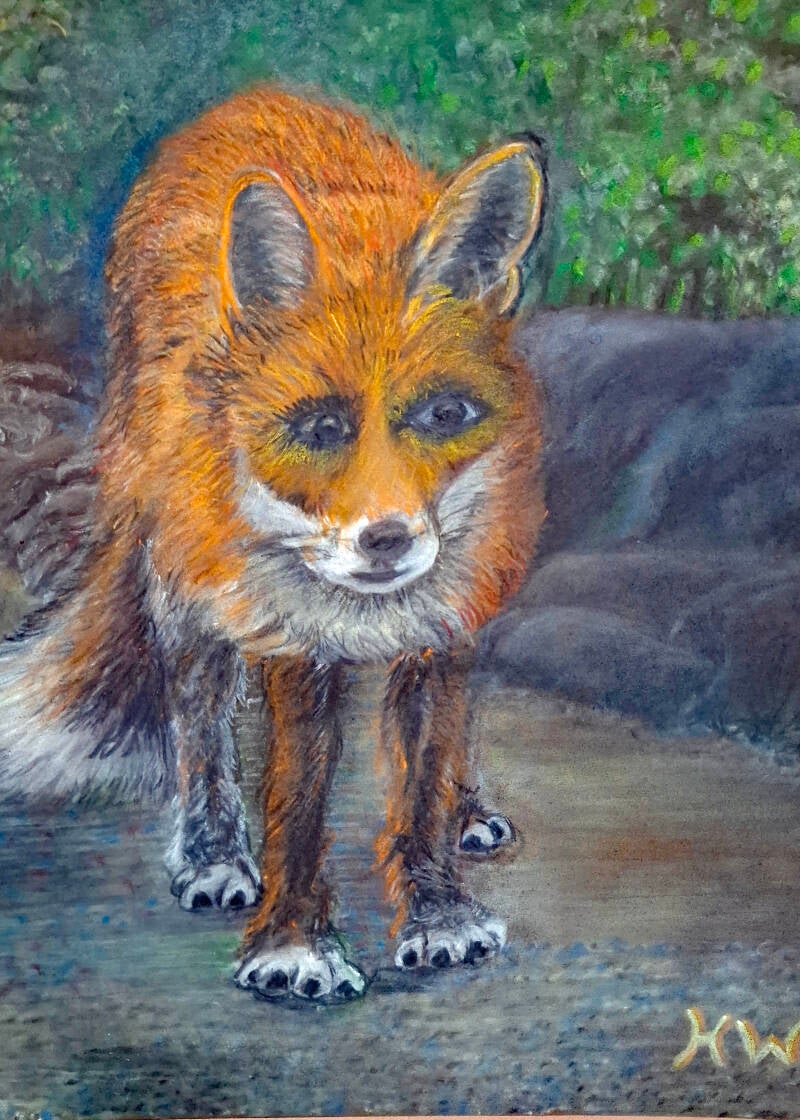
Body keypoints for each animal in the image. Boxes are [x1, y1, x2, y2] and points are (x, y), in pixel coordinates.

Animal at [0, 86, 546, 1002]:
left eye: (443, 415)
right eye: (320, 428)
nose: (387, 540)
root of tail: (253, 97)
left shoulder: (443, 627)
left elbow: (426, 779)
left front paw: (439, 912)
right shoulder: (295, 640)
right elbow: (297, 800)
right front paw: (294, 944)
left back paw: (471, 810)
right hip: (186, 582)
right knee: (200, 722)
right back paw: (212, 852)